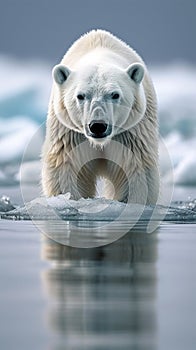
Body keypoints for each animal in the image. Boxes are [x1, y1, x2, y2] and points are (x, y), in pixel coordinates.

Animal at [41, 30, 159, 205]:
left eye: (115, 94)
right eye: (81, 95)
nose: (97, 126)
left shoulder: (130, 132)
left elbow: (135, 166)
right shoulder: (69, 133)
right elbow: (66, 166)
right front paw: (68, 198)